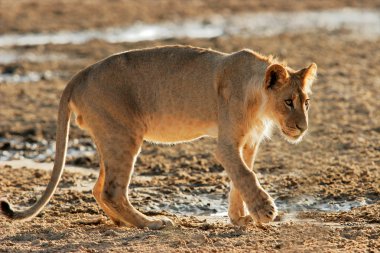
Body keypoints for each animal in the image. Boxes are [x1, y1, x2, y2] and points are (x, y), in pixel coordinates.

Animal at [0, 45, 318, 229]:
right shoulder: (227, 144)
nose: (302, 128)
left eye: (306, 102)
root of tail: (79, 75)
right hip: (124, 135)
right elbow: (245, 175)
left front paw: (239, 217)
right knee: (112, 189)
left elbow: (240, 180)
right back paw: (152, 223)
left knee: (99, 187)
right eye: (288, 102)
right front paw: (265, 211)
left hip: (111, 137)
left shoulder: (248, 143)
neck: (259, 101)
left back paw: (121, 221)